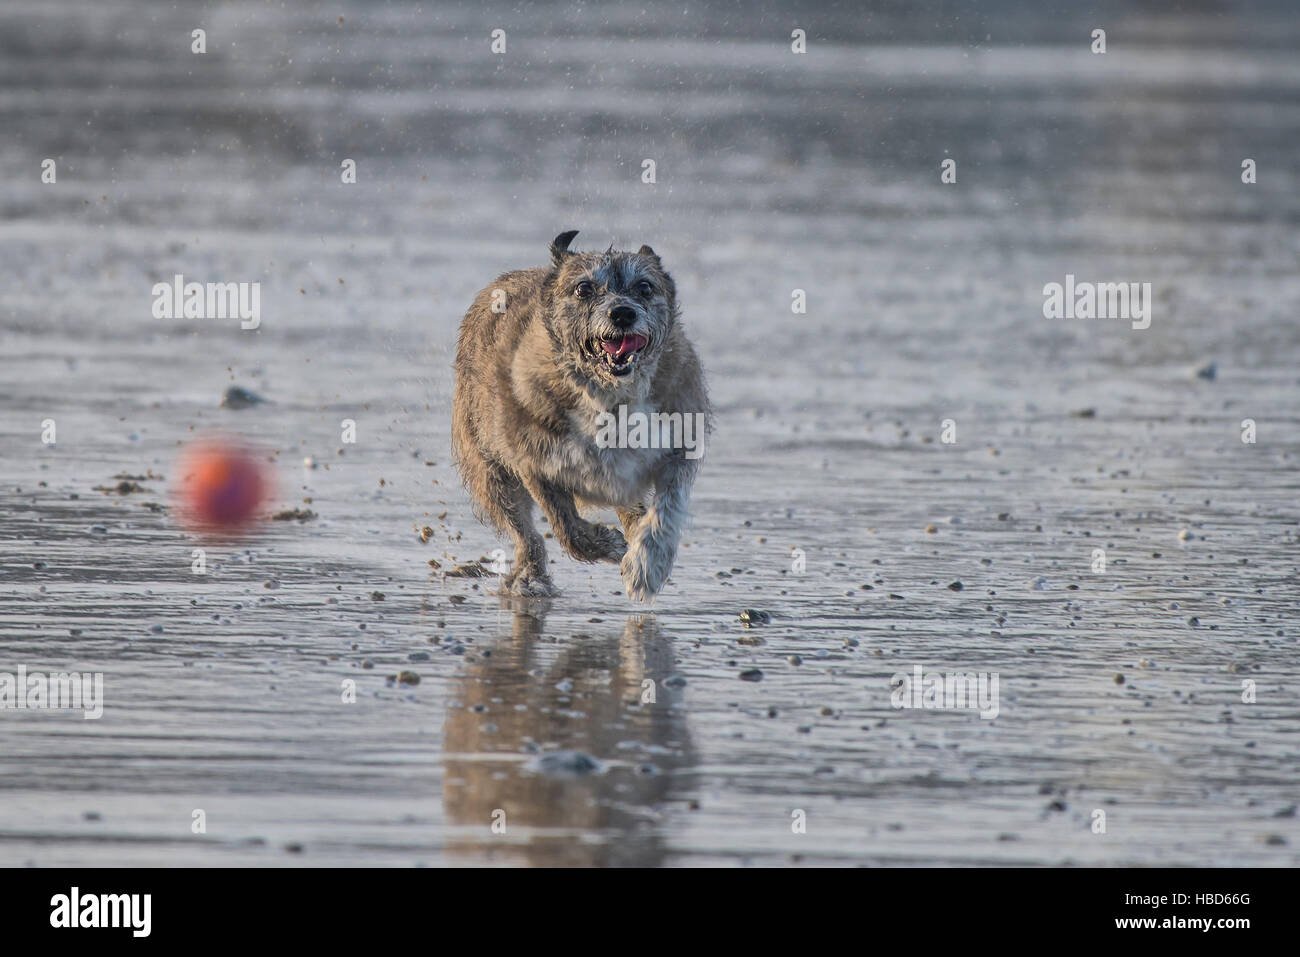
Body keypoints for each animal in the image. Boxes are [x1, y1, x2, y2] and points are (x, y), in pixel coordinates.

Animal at [449, 231, 712, 598]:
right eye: (584, 288)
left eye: (645, 287)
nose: (622, 313)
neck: (611, 400)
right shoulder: (533, 463)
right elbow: (567, 529)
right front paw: (610, 546)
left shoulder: (678, 446)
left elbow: (667, 509)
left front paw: (648, 564)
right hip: (489, 468)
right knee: (522, 529)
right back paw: (531, 575)